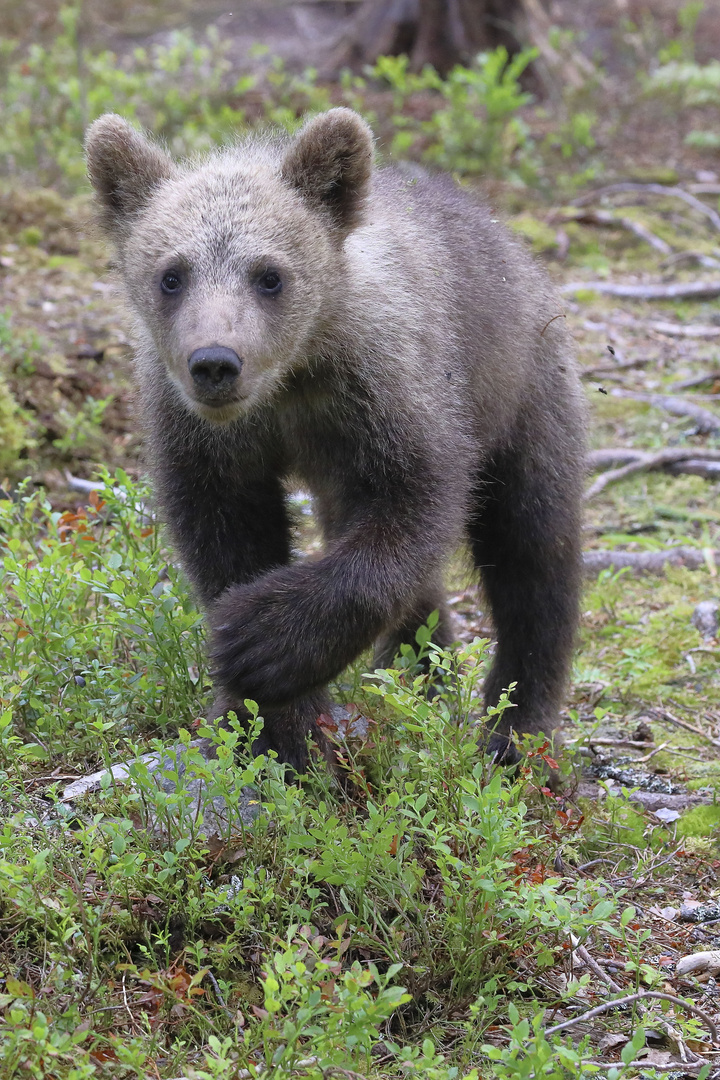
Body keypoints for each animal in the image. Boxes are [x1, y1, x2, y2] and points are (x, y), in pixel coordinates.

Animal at [84, 109, 587, 777]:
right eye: (171, 275)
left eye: (269, 275)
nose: (215, 363)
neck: (292, 377)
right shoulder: (208, 439)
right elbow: (225, 535)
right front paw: (273, 728)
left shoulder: (388, 392)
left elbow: (415, 507)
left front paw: (264, 641)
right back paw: (418, 678)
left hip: (522, 389)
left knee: (533, 552)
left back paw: (516, 733)